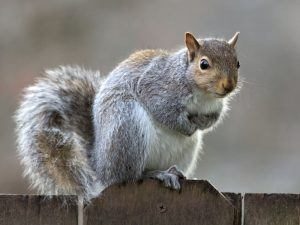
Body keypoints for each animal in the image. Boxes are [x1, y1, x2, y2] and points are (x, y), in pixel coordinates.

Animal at [15, 31, 241, 200]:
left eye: (237, 63)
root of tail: (101, 169)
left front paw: (202, 123)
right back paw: (157, 174)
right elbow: (164, 112)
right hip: (127, 125)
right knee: (131, 176)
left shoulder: (215, 107)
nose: (229, 86)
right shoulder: (156, 88)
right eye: (204, 64)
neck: (204, 95)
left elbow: (212, 119)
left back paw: (177, 173)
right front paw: (186, 126)